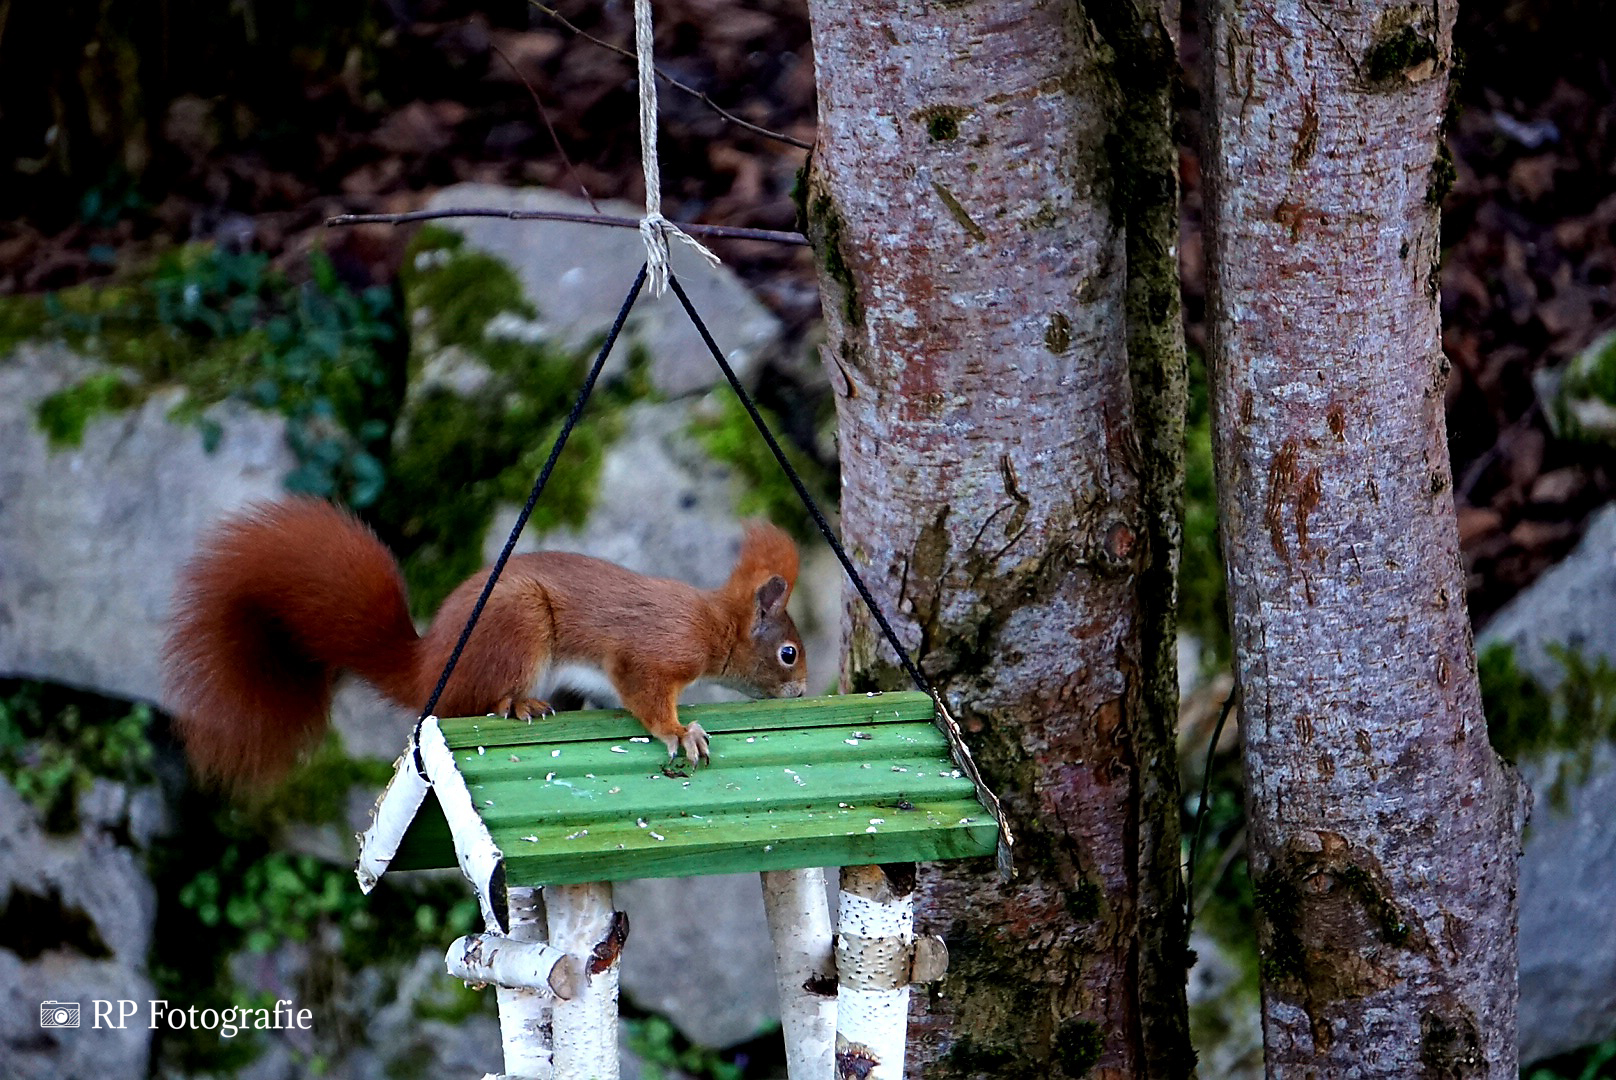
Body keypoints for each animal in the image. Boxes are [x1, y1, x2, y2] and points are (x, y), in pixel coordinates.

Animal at [164, 497, 808, 792]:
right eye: (789, 654)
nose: (802, 691)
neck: (714, 624)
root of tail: (427, 667)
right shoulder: (656, 651)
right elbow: (645, 693)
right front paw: (680, 732)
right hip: (516, 627)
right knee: (477, 702)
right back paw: (519, 705)